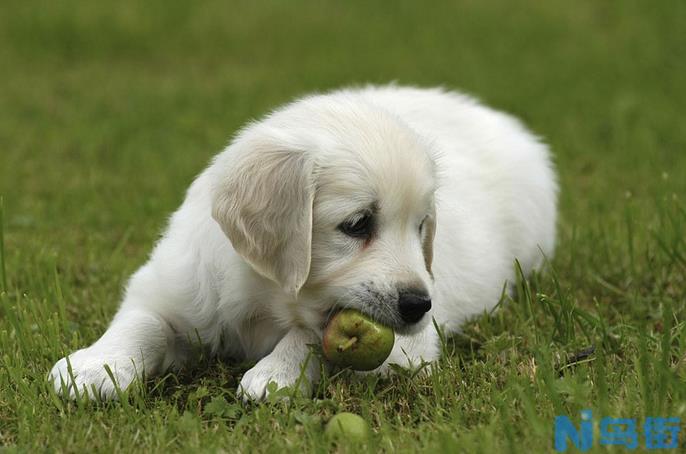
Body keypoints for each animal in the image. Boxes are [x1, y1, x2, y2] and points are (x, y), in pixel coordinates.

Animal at [49, 85, 560, 400]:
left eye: (421, 227)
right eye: (357, 224)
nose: (420, 305)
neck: (266, 298)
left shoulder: (406, 351)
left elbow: (314, 333)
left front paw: (275, 375)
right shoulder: (172, 283)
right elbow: (142, 321)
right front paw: (95, 366)